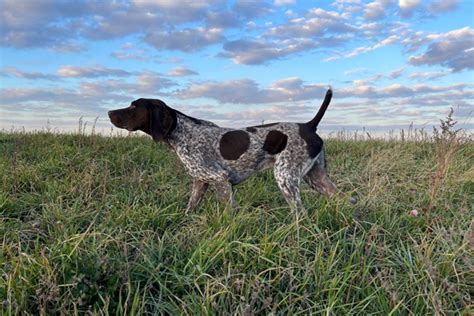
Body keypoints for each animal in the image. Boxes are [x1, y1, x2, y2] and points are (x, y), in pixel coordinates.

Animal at [108, 88, 352, 212]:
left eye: (133, 107)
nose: (109, 112)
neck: (182, 132)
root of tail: (309, 125)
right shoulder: (200, 181)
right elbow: (190, 206)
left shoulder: (220, 179)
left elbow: (228, 213)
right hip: (317, 177)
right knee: (346, 199)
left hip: (286, 178)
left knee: (300, 213)